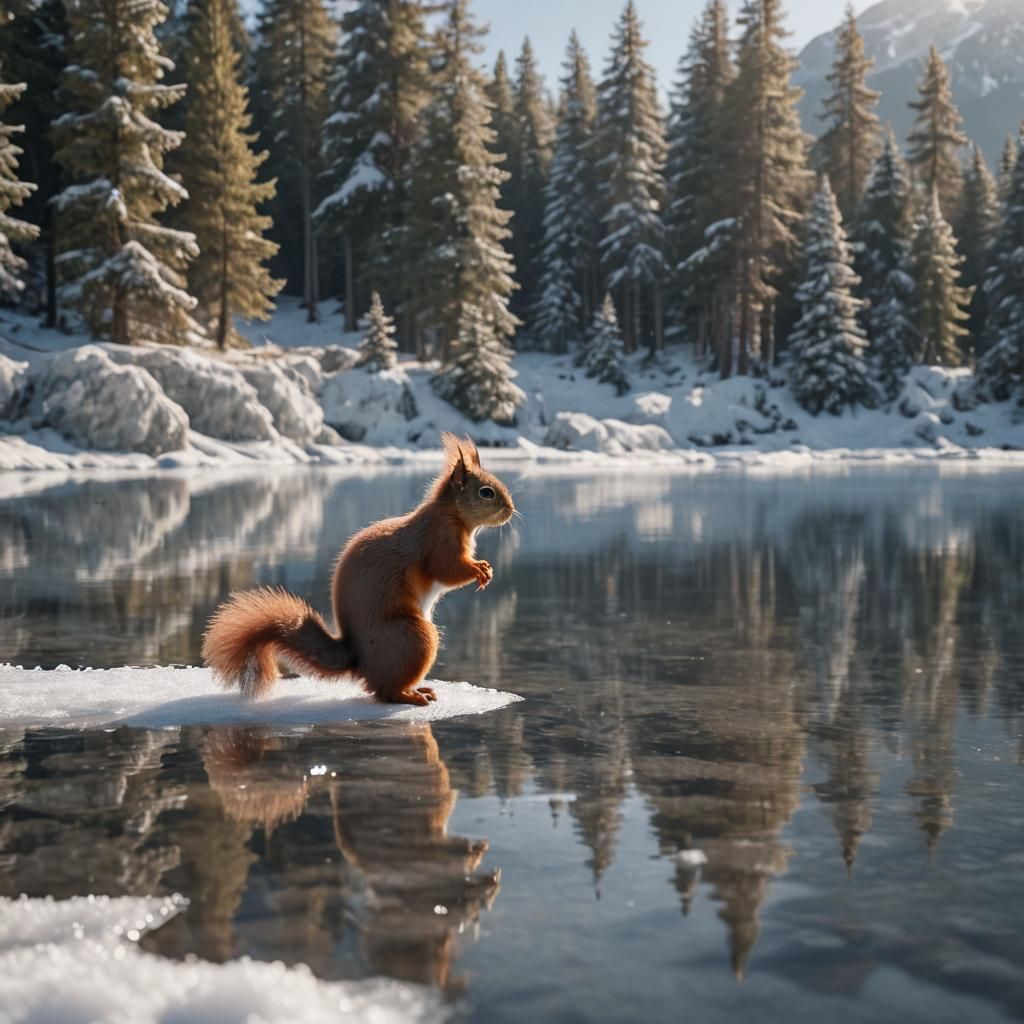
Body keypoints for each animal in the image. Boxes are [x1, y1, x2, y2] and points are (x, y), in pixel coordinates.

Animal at [202, 433, 515, 706]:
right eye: (486, 492)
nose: (511, 509)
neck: (452, 515)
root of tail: (359, 659)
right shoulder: (438, 540)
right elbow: (446, 569)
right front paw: (481, 570)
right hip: (414, 638)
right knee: (383, 692)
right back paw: (411, 696)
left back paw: (421, 689)